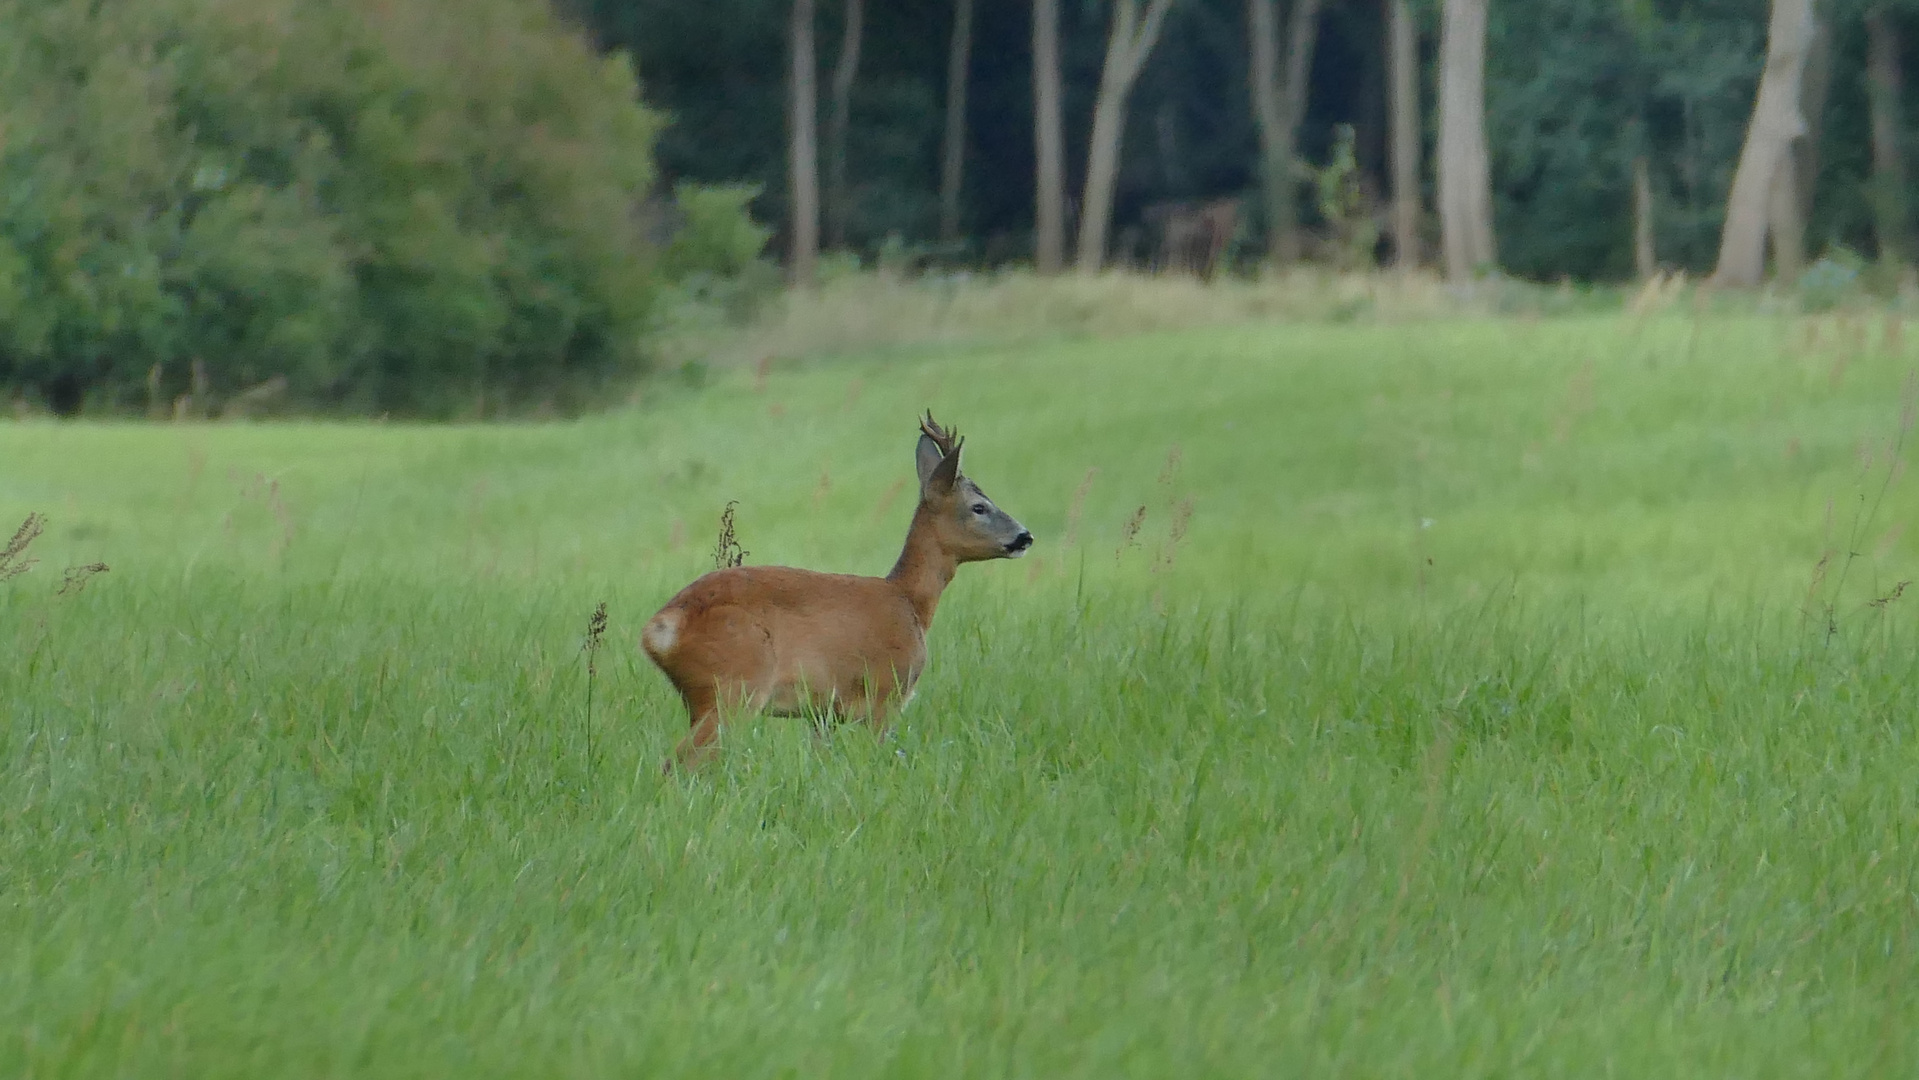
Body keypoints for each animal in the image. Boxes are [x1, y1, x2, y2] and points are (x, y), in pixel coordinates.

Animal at [644, 412, 1036, 767]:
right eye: (979, 507)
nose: (1025, 536)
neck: (910, 602)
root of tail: (660, 628)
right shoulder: (886, 693)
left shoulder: (823, 713)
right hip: (735, 686)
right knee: (678, 763)